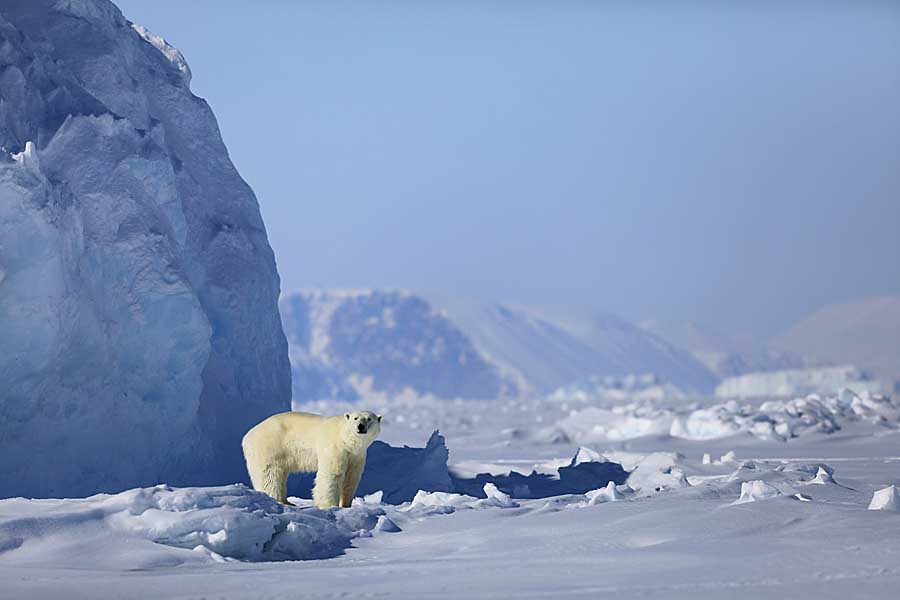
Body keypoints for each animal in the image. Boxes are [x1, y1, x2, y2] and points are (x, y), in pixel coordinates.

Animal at [241, 408, 382, 506]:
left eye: (369, 419)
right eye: (355, 418)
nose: (361, 426)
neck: (346, 440)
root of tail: (247, 437)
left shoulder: (357, 455)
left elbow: (351, 478)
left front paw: (346, 505)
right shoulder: (335, 448)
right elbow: (332, 474)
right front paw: (330, 505)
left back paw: (287, 502)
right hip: (269, 447)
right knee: (269, 475)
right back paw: (278, 500)